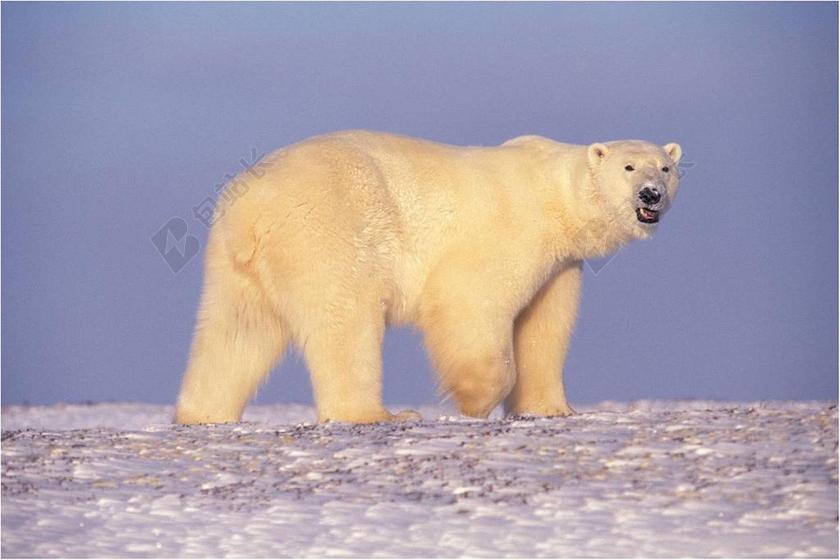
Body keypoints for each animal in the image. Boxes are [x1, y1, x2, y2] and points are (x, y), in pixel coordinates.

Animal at [175, 131, 682, 424]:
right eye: (628, 167)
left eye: (666, 167)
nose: (651, 195)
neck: (554, 197)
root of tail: (250, 208)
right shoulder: (508, 230)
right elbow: (471, 302)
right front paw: (474, 399)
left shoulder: (559, 263)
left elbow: (544, 327)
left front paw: (552, 407)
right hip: (329, 228)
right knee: (347, 321)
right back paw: (378, 414)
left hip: (235, 265)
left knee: (236, 333)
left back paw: (203, 413)